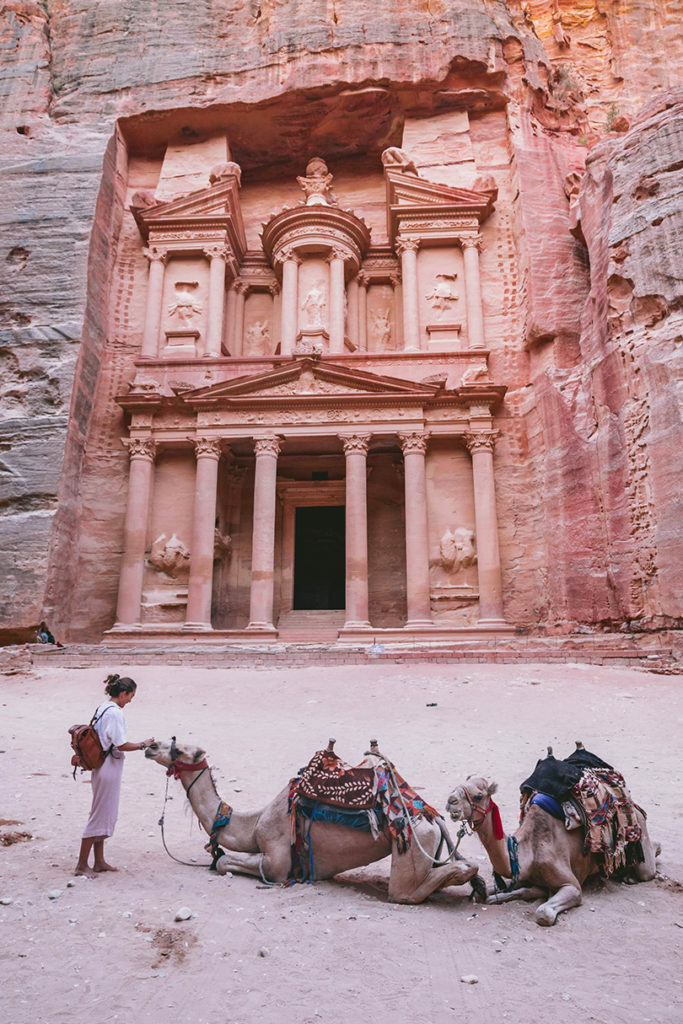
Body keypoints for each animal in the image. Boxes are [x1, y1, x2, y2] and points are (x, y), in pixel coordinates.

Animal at [147, 737, 483, 905]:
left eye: (178, 748)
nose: (149, 745)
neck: (252, 823)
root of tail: (432, 818)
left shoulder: (277, 859)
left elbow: (224, 862)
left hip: (411, 843)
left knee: (407, 891)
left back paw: (468, 875)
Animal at [446, 757, 659, 925]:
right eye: (457, 786)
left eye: (478, 795)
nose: (450, 801)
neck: (527, 851)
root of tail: (634, 806)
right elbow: (489, 894)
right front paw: (489, 896)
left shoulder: (572, 886)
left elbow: (544, 912)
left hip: (639, 833)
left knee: (648, 867)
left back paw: (631, 874)